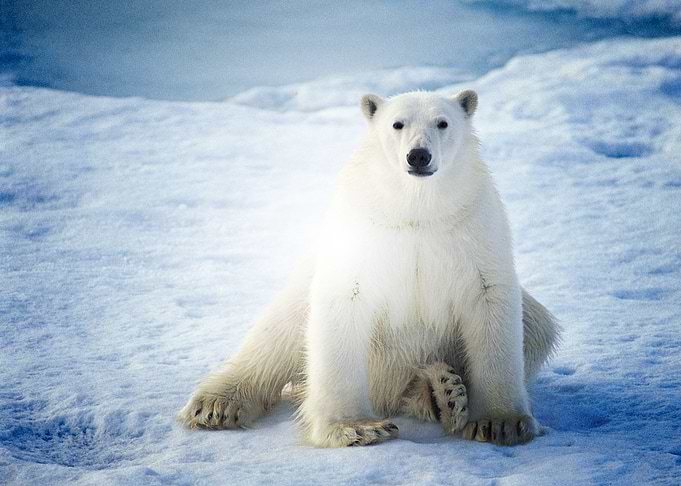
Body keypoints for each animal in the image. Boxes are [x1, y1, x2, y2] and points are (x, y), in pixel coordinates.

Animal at [178, 90, 560, 448]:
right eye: (397, 124)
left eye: (443, 122)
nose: (418, 155)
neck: (415, 209)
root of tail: (386, 389)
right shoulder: (359, 237)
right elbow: (343, 303)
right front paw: (356, 427)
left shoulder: (474, 226)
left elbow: (489, 299)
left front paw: (500, 423)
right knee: (275, 335)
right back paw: (216, 404)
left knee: (537, 325)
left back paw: (442, 393)